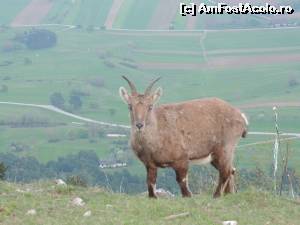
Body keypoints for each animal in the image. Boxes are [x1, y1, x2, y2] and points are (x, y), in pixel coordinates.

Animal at [119, 76, 248, 197]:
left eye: (150, 106)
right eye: (130, 106)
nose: (139, 125)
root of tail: (241, 116)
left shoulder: (182, 159)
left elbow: (183, 184)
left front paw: (189, 196)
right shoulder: (150, 164)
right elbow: (150, 185)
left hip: (225, 147)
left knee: (225, 171)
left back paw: (216, 195)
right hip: (215, 155)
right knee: (231, 170)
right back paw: (228, 194)